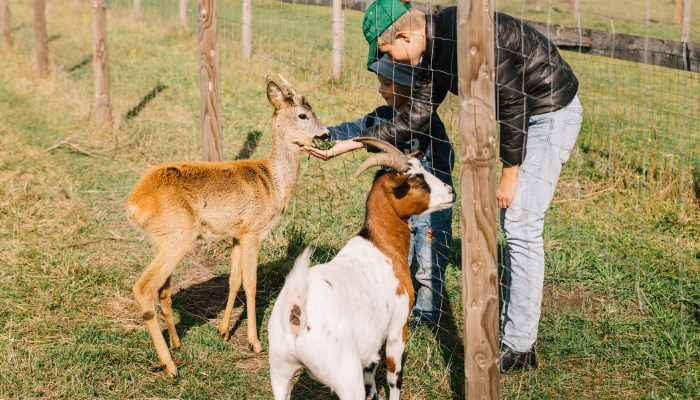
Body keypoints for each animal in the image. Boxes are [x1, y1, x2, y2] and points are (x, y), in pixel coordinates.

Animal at [126, 76, 330, 378]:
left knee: (162, 290)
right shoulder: (253, 230)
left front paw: (222, 331)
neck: (275, 184)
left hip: (163, 238)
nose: (326, 134)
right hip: (180, 236)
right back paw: (170, 366)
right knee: (143, 288)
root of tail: (134, 203)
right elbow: (251, 284)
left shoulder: (236, 233)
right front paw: (254, 343)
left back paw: (176, 345)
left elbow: (234, 280)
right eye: (303, 114)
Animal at [266, 138, 454, 400]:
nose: (451, 192)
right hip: (345, 376)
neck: (381, 245)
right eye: (416, 183)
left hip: (279, 370)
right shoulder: (397, 327)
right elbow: (394, 378)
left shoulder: (371, 342)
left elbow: (371, 376)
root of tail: (296, 311)